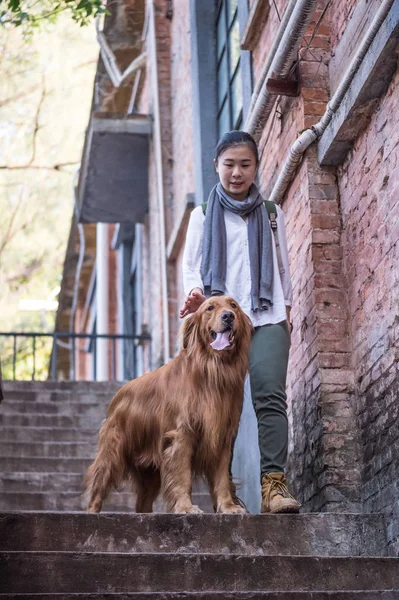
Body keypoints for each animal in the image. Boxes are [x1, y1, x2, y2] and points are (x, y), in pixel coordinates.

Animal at [85, 296, 252, 516]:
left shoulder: (222, 436)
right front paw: (185, 507)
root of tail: (118, 395)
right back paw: (92, 512)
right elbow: (182, 477)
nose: (228, 316)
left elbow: (222, 478)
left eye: (234, 306)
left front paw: (228, 506)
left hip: (150, 470)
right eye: (210, 308)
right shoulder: (181, 435)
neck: (211, 370)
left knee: (142, 504)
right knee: (98, 485)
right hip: (112, 453)